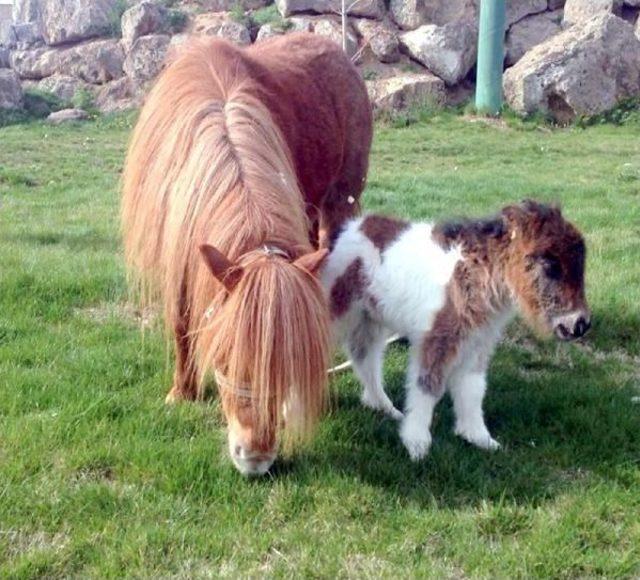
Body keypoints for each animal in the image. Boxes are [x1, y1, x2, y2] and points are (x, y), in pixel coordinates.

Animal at [122, 32, 372, 476]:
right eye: (225, 360)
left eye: (287, 368)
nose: (255, 459)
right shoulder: (179, 258)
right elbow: (182, 320)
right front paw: (182, 392)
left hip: (338, 202)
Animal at [320, 202, 592, 460]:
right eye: (549, 265)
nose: (580, 324)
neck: (472, 277)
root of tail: (344, 230)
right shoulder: (436, 341)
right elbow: (427, 386)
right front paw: (417, 444)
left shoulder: (476, 343)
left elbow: (473, 388)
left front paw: (478, 437)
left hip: (370, 320)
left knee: (364, 358)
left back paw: (383, 407)